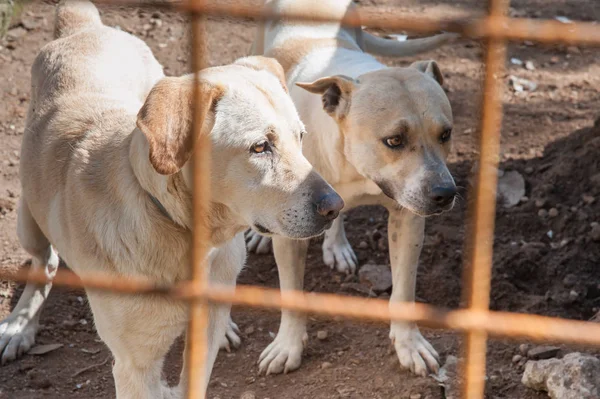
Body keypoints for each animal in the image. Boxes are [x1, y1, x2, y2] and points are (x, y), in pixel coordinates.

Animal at [0, 1, 344, 398]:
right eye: (260, 146)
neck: (190, 238)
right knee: (44, 264)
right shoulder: (135, 366)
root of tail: (84, 27)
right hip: (27, 219)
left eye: (300, 136)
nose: (336, 207)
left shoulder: (203, 334)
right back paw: (19, 325)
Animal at [246, 0, 458, 378]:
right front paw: (288, 346)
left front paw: (409, 343)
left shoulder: (408, 219)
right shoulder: (291, 234)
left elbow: (404, 287)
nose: (445, 194)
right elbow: (291, 292)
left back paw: (337, 244)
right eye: (394, 140)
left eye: (445, 134)